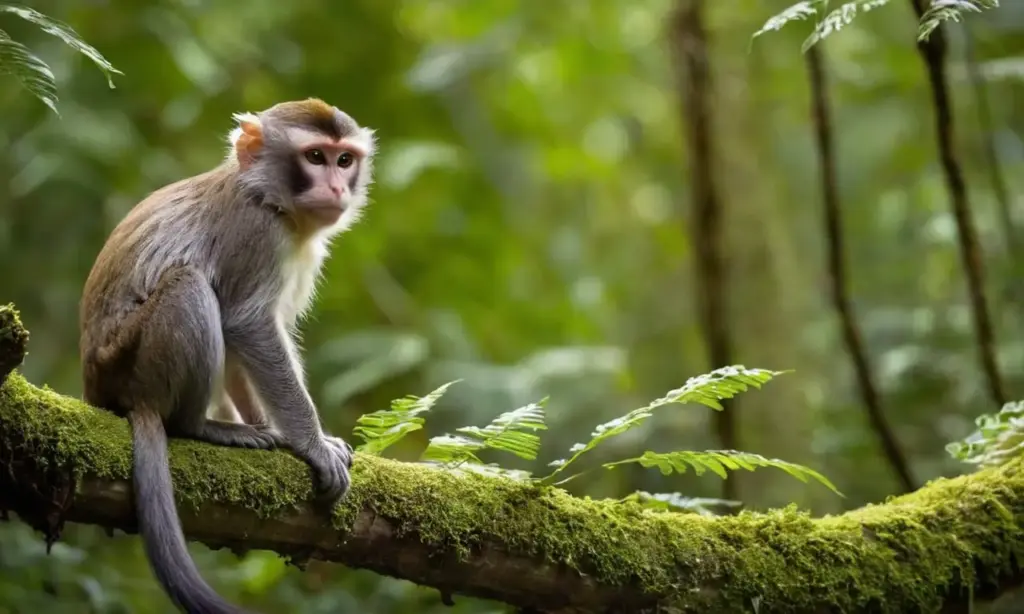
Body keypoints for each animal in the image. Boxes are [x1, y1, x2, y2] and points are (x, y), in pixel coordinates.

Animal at [78, 98, 376, 614]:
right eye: (315, 157)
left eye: (344, 160)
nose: (337, 187)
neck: (268, 198)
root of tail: (103, 393)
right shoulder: (258, 236)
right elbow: (248, 325)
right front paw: (312, 444)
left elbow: (242, 345)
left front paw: (286, 432)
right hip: (135, 362)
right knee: (191, 287)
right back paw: (201, 427)